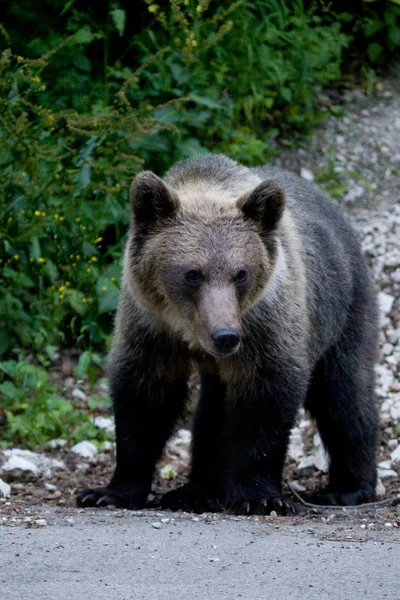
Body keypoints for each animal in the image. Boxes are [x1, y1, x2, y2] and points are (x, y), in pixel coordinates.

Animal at [76, 152, 380, 512]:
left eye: (241, 273)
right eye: (193, 274)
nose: (226, 336)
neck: (188, 330)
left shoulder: (266, 325)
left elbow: (265, 402)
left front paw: (259, 497)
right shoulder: (150, 325)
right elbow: (145, 397)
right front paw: (107, 492)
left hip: (342, 309)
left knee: (344, 394)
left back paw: (346, 488)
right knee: (211, 412)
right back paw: (195, 491)